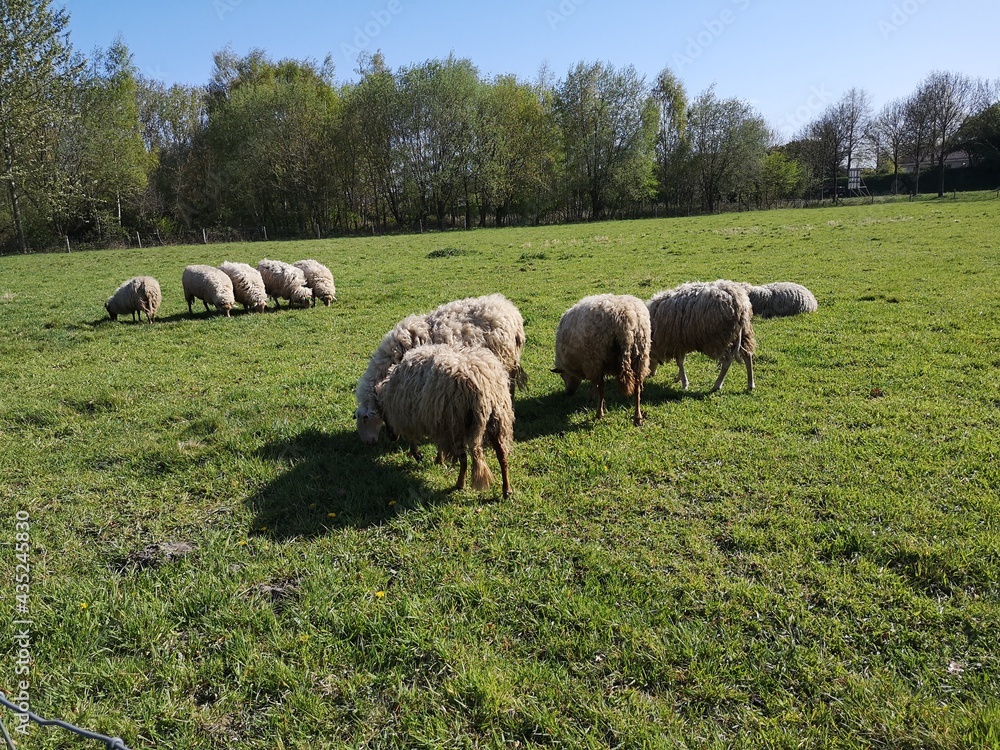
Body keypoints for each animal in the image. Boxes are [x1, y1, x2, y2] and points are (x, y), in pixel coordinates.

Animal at [356, 343, 514, 499]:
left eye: (383, 416)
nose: (392, 437)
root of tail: (483, 386)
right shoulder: (435, 419)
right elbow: (438, 445)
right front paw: (439, 459)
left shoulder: (411, 416)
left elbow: (412, 438)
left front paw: (418, 455)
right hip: (497, 419)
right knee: (502, 455)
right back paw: (507, 490)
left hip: (456, 424)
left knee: (464, 459)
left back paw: (460, 484)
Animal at [551, 294, 651, 425]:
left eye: (562, 376)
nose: (568, 393)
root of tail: (626, 319)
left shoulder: (590, 364)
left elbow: (596, 385)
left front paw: (591, 397)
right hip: (640, 356)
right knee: (637, 388)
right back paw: (638, 417)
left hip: (597, 357)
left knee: (602, 387)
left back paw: (599, 413)